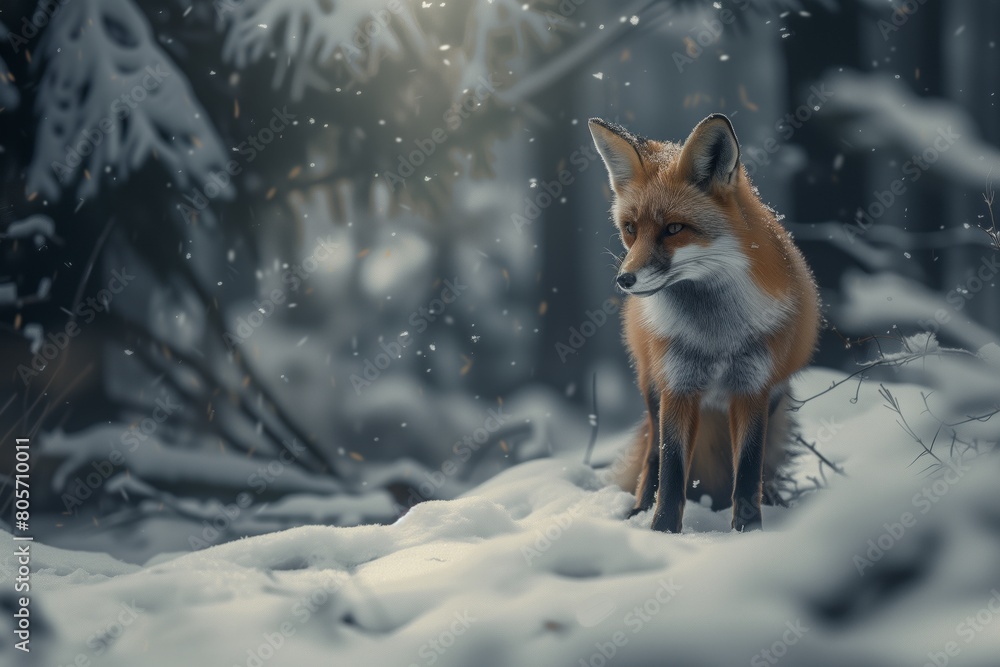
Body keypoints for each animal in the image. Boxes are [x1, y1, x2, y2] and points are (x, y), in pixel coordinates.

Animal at [588, 113, 819, 533]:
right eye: (631, 228)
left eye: (674, 229)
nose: (624, 280)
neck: (715, 337)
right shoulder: (678, 386)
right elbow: (672, 471)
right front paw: (662, 530)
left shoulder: (752, 388)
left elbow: (748, 469)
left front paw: (748, 531)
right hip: (652, 389)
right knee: (652, 458)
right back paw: (638, 510)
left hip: (774, 394)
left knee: (759, 466)